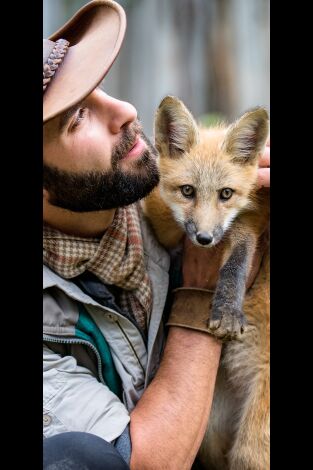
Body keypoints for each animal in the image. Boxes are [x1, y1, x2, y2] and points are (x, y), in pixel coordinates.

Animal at [141, 96, 268, 470]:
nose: (205, 239)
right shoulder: (166, 221)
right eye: (188, 191)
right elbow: (161, 211)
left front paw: (227, 309)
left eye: (226, 194)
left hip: (252, 444)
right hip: (211, 429)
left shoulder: (251, 218)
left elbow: (238, 258)